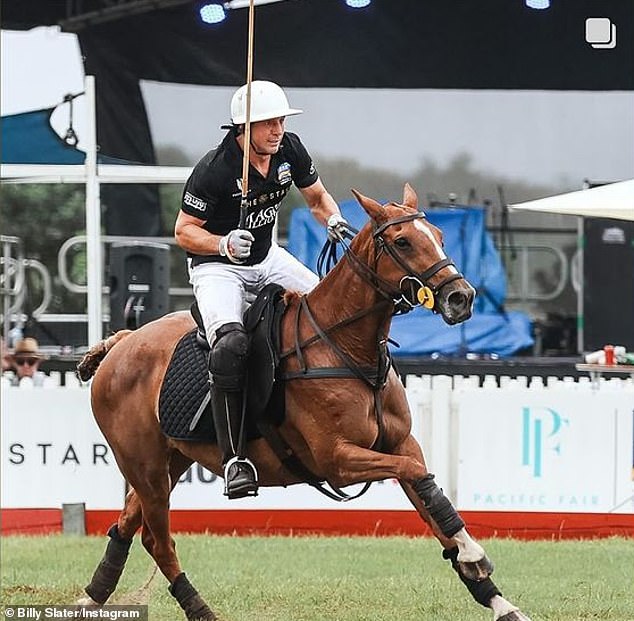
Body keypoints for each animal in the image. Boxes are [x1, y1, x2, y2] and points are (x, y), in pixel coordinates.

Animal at [76, 184, 528, 620]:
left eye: (438, 235)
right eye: (402, 241)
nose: (461, 297)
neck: (349, 348)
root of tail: (122, 341)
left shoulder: (401, 443)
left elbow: (429, 491)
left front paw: (495, 596)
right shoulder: (337, 460)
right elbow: (415, 472)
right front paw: (473, 553)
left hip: (172, 458)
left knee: (130, 524)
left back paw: (92, 597)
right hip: (144, 464)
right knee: (159, 540)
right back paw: (199, 609)